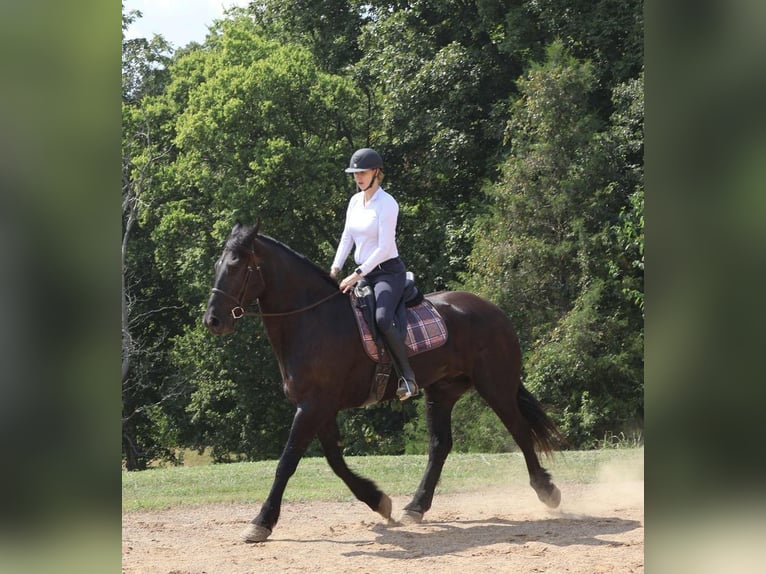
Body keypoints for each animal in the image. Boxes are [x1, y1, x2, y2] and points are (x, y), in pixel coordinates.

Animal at [203, 221, 562, 542]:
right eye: (219, 264)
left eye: (237, 266)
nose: (213, 320)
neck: (313, 320)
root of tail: (493, 310)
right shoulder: (321, 407)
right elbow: (335, 460)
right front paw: (378, 500)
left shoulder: (313, 405)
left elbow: (287, 462)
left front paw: (261, 522)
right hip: (441, 392)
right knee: (440, 446)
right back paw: (415, 506)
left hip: (496, 386)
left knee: (519, 430)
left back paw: (547, 491)